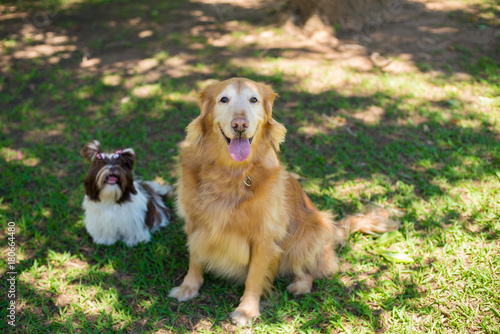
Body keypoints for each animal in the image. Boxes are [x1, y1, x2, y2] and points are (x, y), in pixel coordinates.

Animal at [168, 77, 398, 324]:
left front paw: (247, 310)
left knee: (315, 269)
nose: (240, 124)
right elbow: (195, 258)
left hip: (311, 230)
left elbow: (254, 277)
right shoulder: (195, 222)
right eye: (224, 99)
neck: (231, 172)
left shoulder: (263, 237)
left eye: (253, 99)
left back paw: (300, 285)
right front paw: (189, 287)